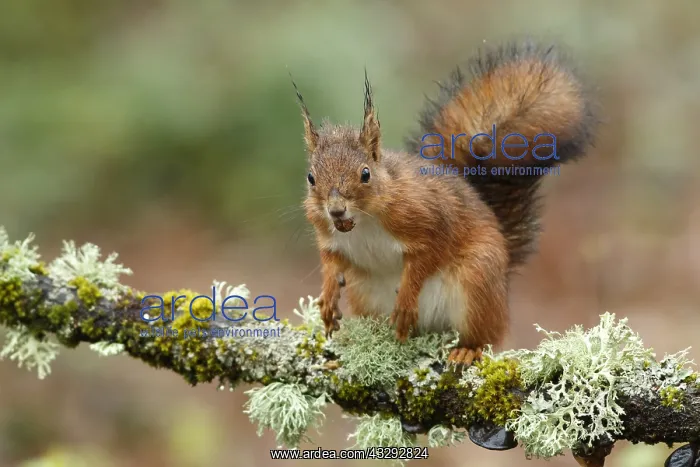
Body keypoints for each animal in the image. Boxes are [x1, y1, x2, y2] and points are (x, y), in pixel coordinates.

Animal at [294, 40, 596, 365]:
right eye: (311, 178)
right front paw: (327, 298)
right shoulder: (326, 233)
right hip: (365, 295)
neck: (363, 220)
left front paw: (406, 302)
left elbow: (427, 258)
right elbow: (330, 261)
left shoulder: (428, 220)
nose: (336, 210)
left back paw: (466, 349)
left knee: (485, 335)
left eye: (365, 174)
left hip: (476, 283)